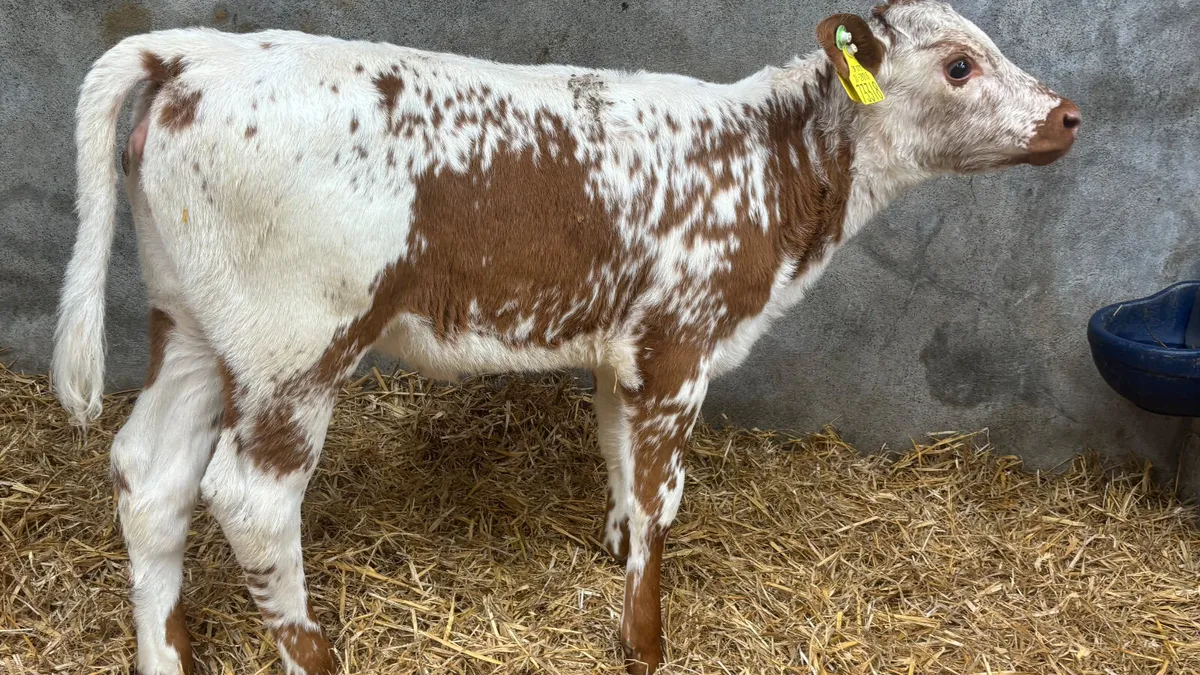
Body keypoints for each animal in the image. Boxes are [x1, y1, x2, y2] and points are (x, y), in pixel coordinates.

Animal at [52, 1, 1078, 673]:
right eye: (959, 66)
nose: (1068, 114)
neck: (774, 164)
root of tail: (190, 52)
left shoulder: (624, 350)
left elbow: (622, 464)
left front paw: (618, 556)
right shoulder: (680, 341)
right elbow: (662, 496)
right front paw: (647, 643)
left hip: (192, 324)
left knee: (149, 475)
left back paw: (167, 657)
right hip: (294, 346)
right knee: (249, 499)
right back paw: (316, 656)